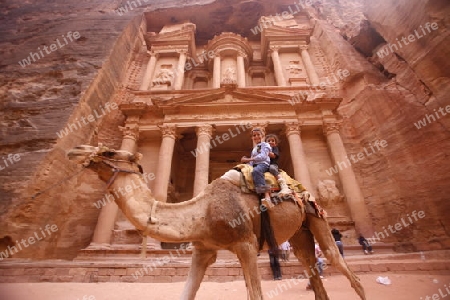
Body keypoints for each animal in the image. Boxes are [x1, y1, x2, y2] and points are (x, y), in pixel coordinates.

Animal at [67, 144, 364, 298]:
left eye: (109, 152)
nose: (76, 150)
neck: (203, 211)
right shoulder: (203, 249)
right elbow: (185, 293)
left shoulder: (245, 244)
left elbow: (255, 294)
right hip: (300, 233)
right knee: (313, 273)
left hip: (316, 216)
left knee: (344, 268)